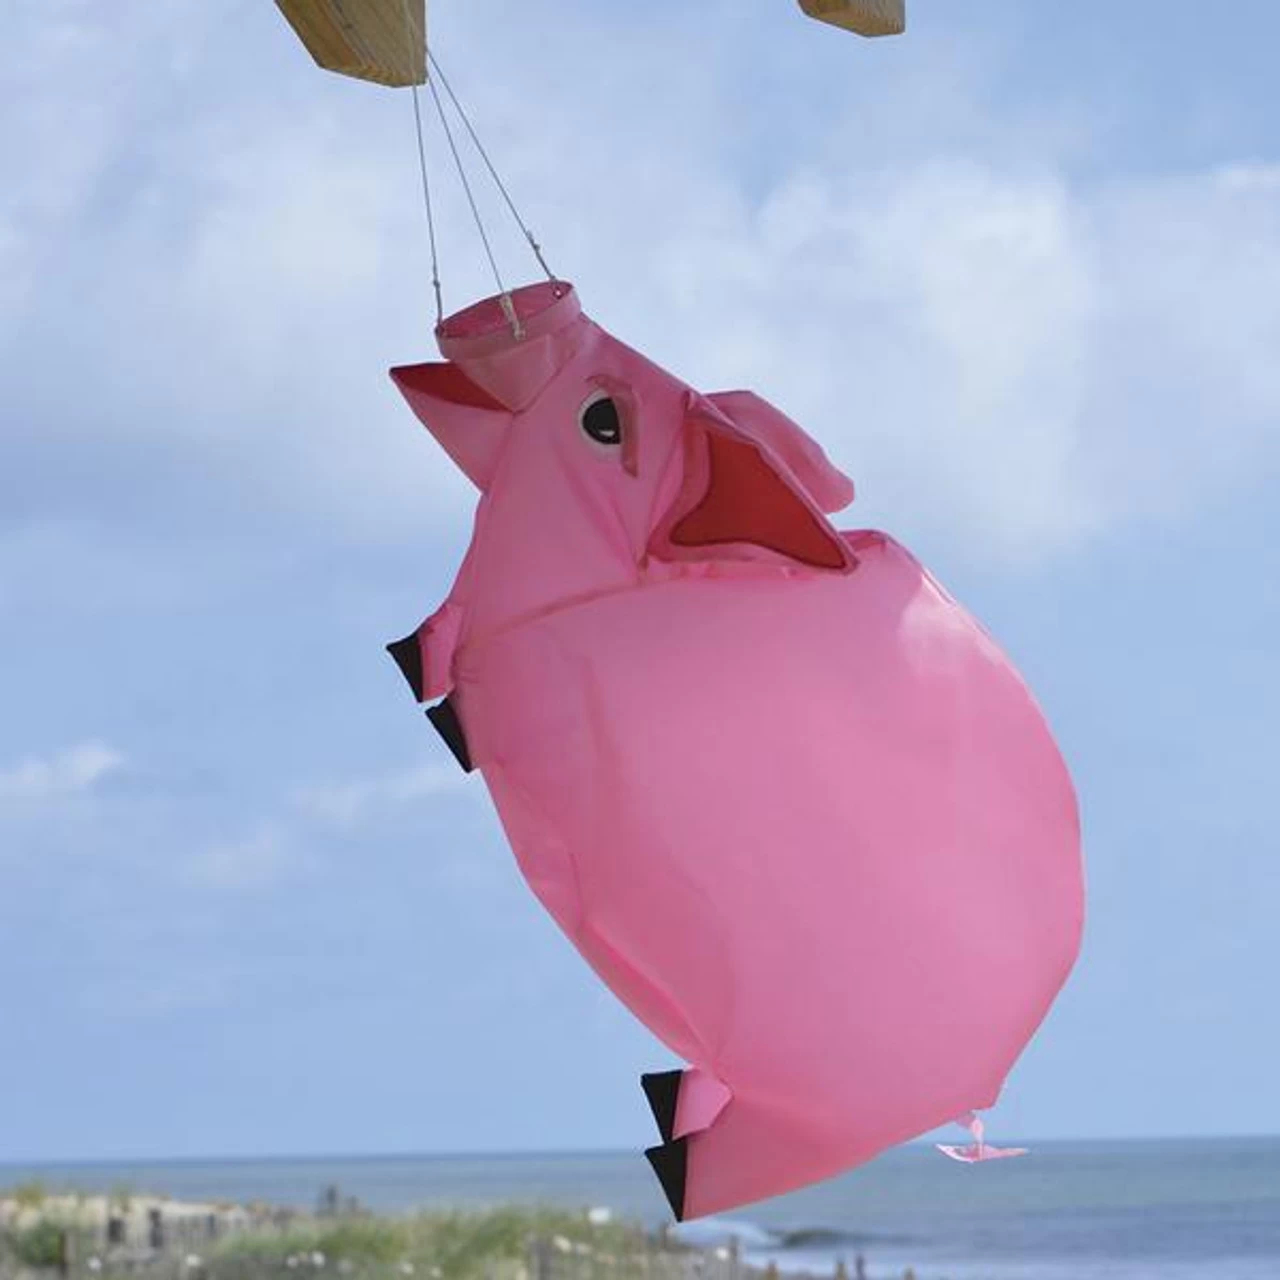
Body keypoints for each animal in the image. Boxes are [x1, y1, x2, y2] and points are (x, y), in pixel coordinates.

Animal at [385, 280, 1083, 1221]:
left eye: (602, 421)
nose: (485, 331)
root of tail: (972, 1101)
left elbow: (435, 656)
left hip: (811, 1103)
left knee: (708, 1155)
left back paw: (675, 1152)